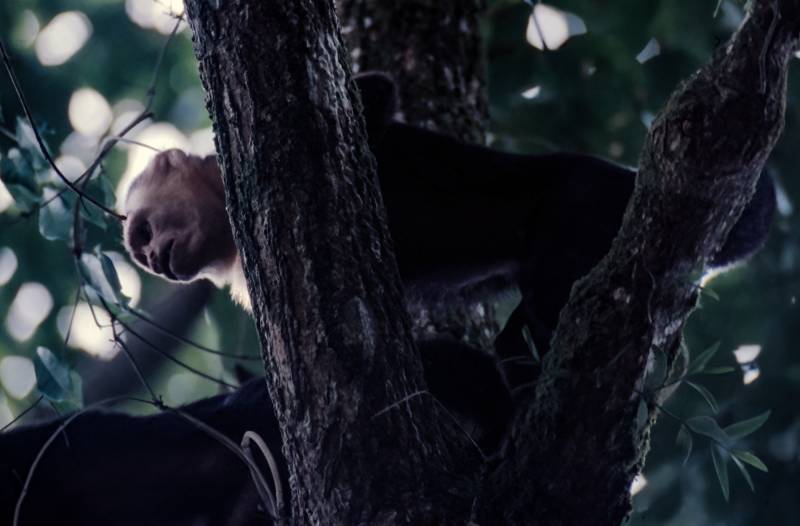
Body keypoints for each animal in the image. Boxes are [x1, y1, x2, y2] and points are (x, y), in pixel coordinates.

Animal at [123, 72, 776, 414]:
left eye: (143, 231)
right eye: (140, 249)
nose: (152, 258)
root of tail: (624, 178)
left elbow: (367, 99)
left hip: (582, 200)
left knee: (542, 310)